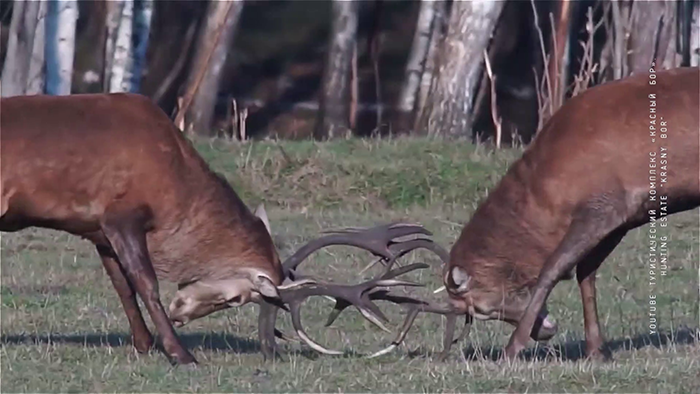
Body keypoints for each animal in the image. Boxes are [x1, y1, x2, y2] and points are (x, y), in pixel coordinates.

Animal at [1, 92, 448, 364]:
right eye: (237, 300)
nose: (183, 314)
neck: (175, 195)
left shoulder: (95, 227)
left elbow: (122, 286)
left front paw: (144, 345)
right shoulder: (122, 213)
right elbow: (146, 283)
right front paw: (180, 354)